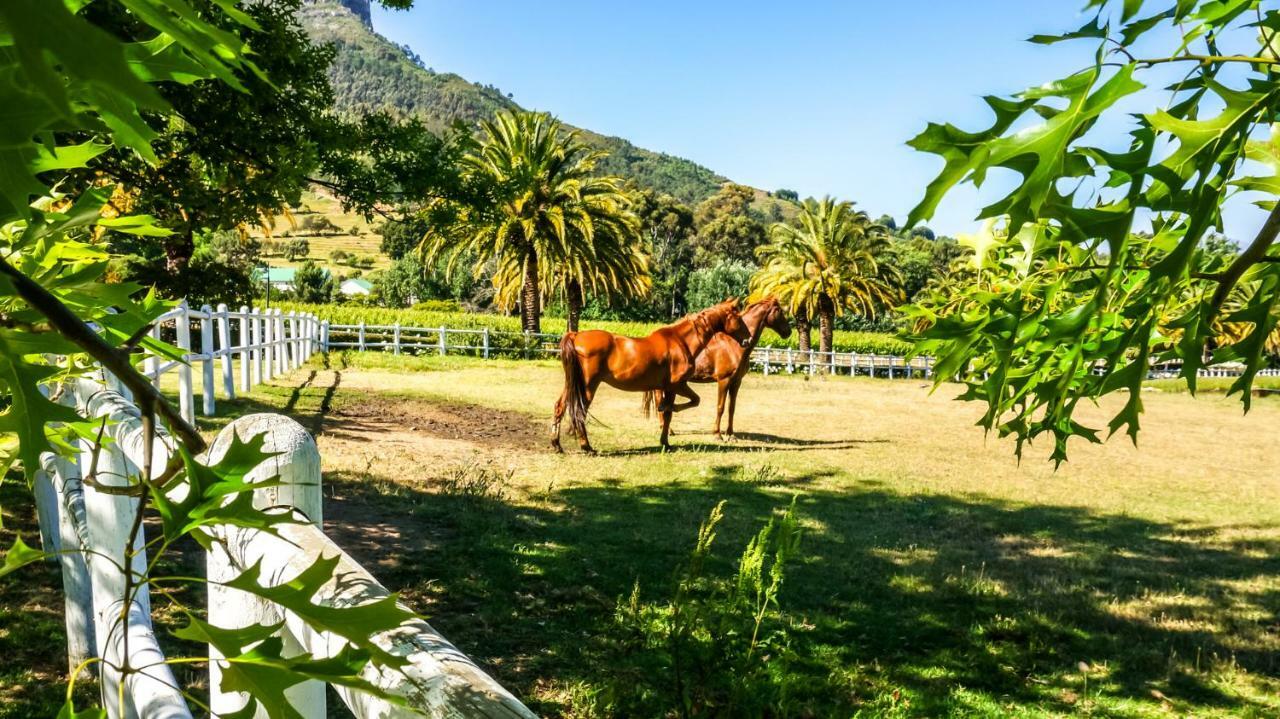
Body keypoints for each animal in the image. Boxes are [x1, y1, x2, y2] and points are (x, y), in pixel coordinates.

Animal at [550, 299, 747, 450]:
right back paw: (586, 447)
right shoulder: (676, 385)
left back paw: (556, 444)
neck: (680, 341)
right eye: (738, 316)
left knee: (560, 406)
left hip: (572, 384)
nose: (747, 339)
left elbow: (682, 407)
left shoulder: (674, 386)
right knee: (579, 411)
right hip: (588, 386)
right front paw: (665, 436)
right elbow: (679, 407)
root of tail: (575, 335)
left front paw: (665, 438)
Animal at [645, 295, 793, 437]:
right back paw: (668, 430)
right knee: (659, 402)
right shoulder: (724, 380)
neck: (734, 346)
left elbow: (731, 408)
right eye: (779, 311)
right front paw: (717, 434)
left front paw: (731, 434)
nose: (789, 332)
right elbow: (720, 407)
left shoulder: (736, 382)